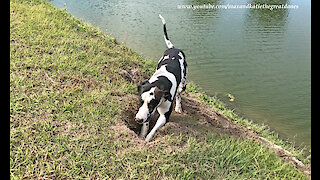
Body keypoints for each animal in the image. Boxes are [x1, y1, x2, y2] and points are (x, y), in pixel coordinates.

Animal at [135, 14, 188, 142]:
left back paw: (178, 107)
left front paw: (147, 139)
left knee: (179, 94)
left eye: (151, 104)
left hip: (183, 83)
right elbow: (146, 125)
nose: (138, 119)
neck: (161, 80)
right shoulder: (148, 113)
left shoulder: (164, 116)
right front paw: (142, 135)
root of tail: (174, 48)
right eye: (140, 101)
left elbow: (154, 130)